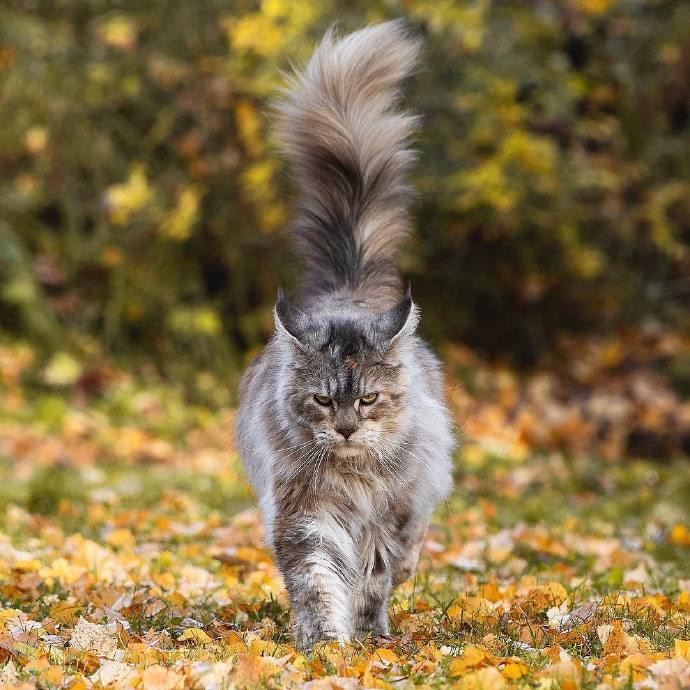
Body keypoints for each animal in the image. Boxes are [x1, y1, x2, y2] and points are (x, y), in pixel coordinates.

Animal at [234, 18, 454, 648]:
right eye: (324, 400)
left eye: (370, 398)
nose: (349, 429)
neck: (352, 478)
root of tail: (349, 288)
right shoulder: (304, 514)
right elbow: (318, 579)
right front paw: (326, 644)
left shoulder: (391, 512)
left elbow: (376, 574)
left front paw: (365, 631)